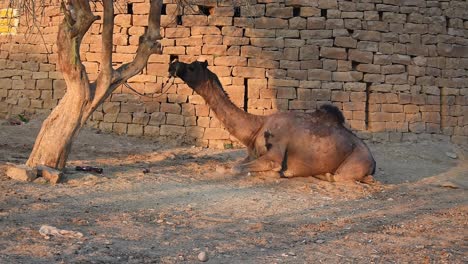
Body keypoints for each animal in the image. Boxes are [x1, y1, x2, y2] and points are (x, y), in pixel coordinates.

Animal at [168, 60, 376, 183]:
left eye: (192, 67)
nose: (173, 64)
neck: (255, 129)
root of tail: (373, 160)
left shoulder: (274, 154)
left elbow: (236, 168)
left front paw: (279, 173)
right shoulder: (251, 155)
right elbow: (230, 165)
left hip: (357, 161)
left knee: (347, 177)